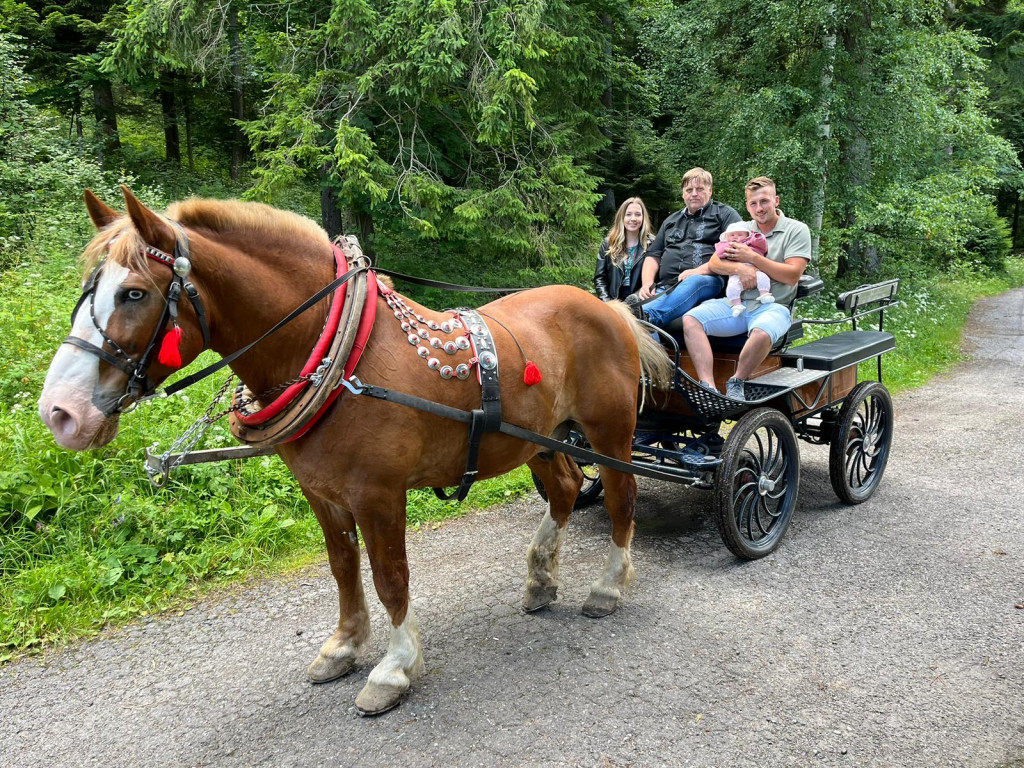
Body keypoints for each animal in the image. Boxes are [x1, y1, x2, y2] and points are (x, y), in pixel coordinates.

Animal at [37, 186, 672, 715]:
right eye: (87, 290)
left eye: (134, 293)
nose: (59, 412)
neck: (340, 362)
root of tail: (609, 307)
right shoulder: (322, 492)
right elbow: (343, 566)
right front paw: (343, 646)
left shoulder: (378, 494)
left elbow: (390, 576)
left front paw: (393, 669)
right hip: (541, 437)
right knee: (564, 489)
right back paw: (540, 579)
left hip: (608, 431)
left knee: (620, 496)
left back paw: (608, 586)